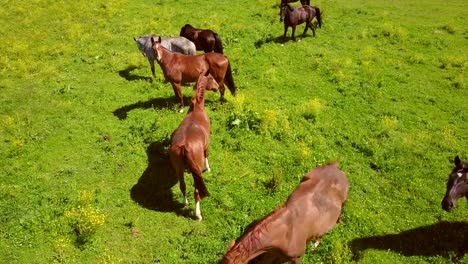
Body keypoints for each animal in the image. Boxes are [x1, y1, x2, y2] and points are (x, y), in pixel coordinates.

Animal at [168, 72, 219, 221]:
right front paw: (208, 168)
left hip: (178, 169)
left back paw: (184, 202)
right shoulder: (206, 144)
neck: (197, 109)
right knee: (196, 191)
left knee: (183, 186)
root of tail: (184, 147)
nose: (217, 87)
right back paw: (198, 214)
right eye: (212, 78)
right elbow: (207, 155)